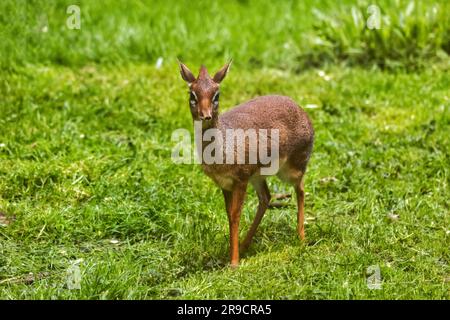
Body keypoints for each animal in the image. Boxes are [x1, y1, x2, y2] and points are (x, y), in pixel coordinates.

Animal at [178, 60, 312, 268]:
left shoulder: (240, 180)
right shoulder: (225, 184)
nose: (205, 115)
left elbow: (236, 214)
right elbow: (229, 214)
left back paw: (301, 238)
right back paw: (244, 245)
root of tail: (301, 110)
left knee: (301, 190)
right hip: (258, 177)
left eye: (217, 94)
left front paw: (233, 263)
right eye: (192, 94)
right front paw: (232, 255)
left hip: (292, 169)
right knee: (266, 197)